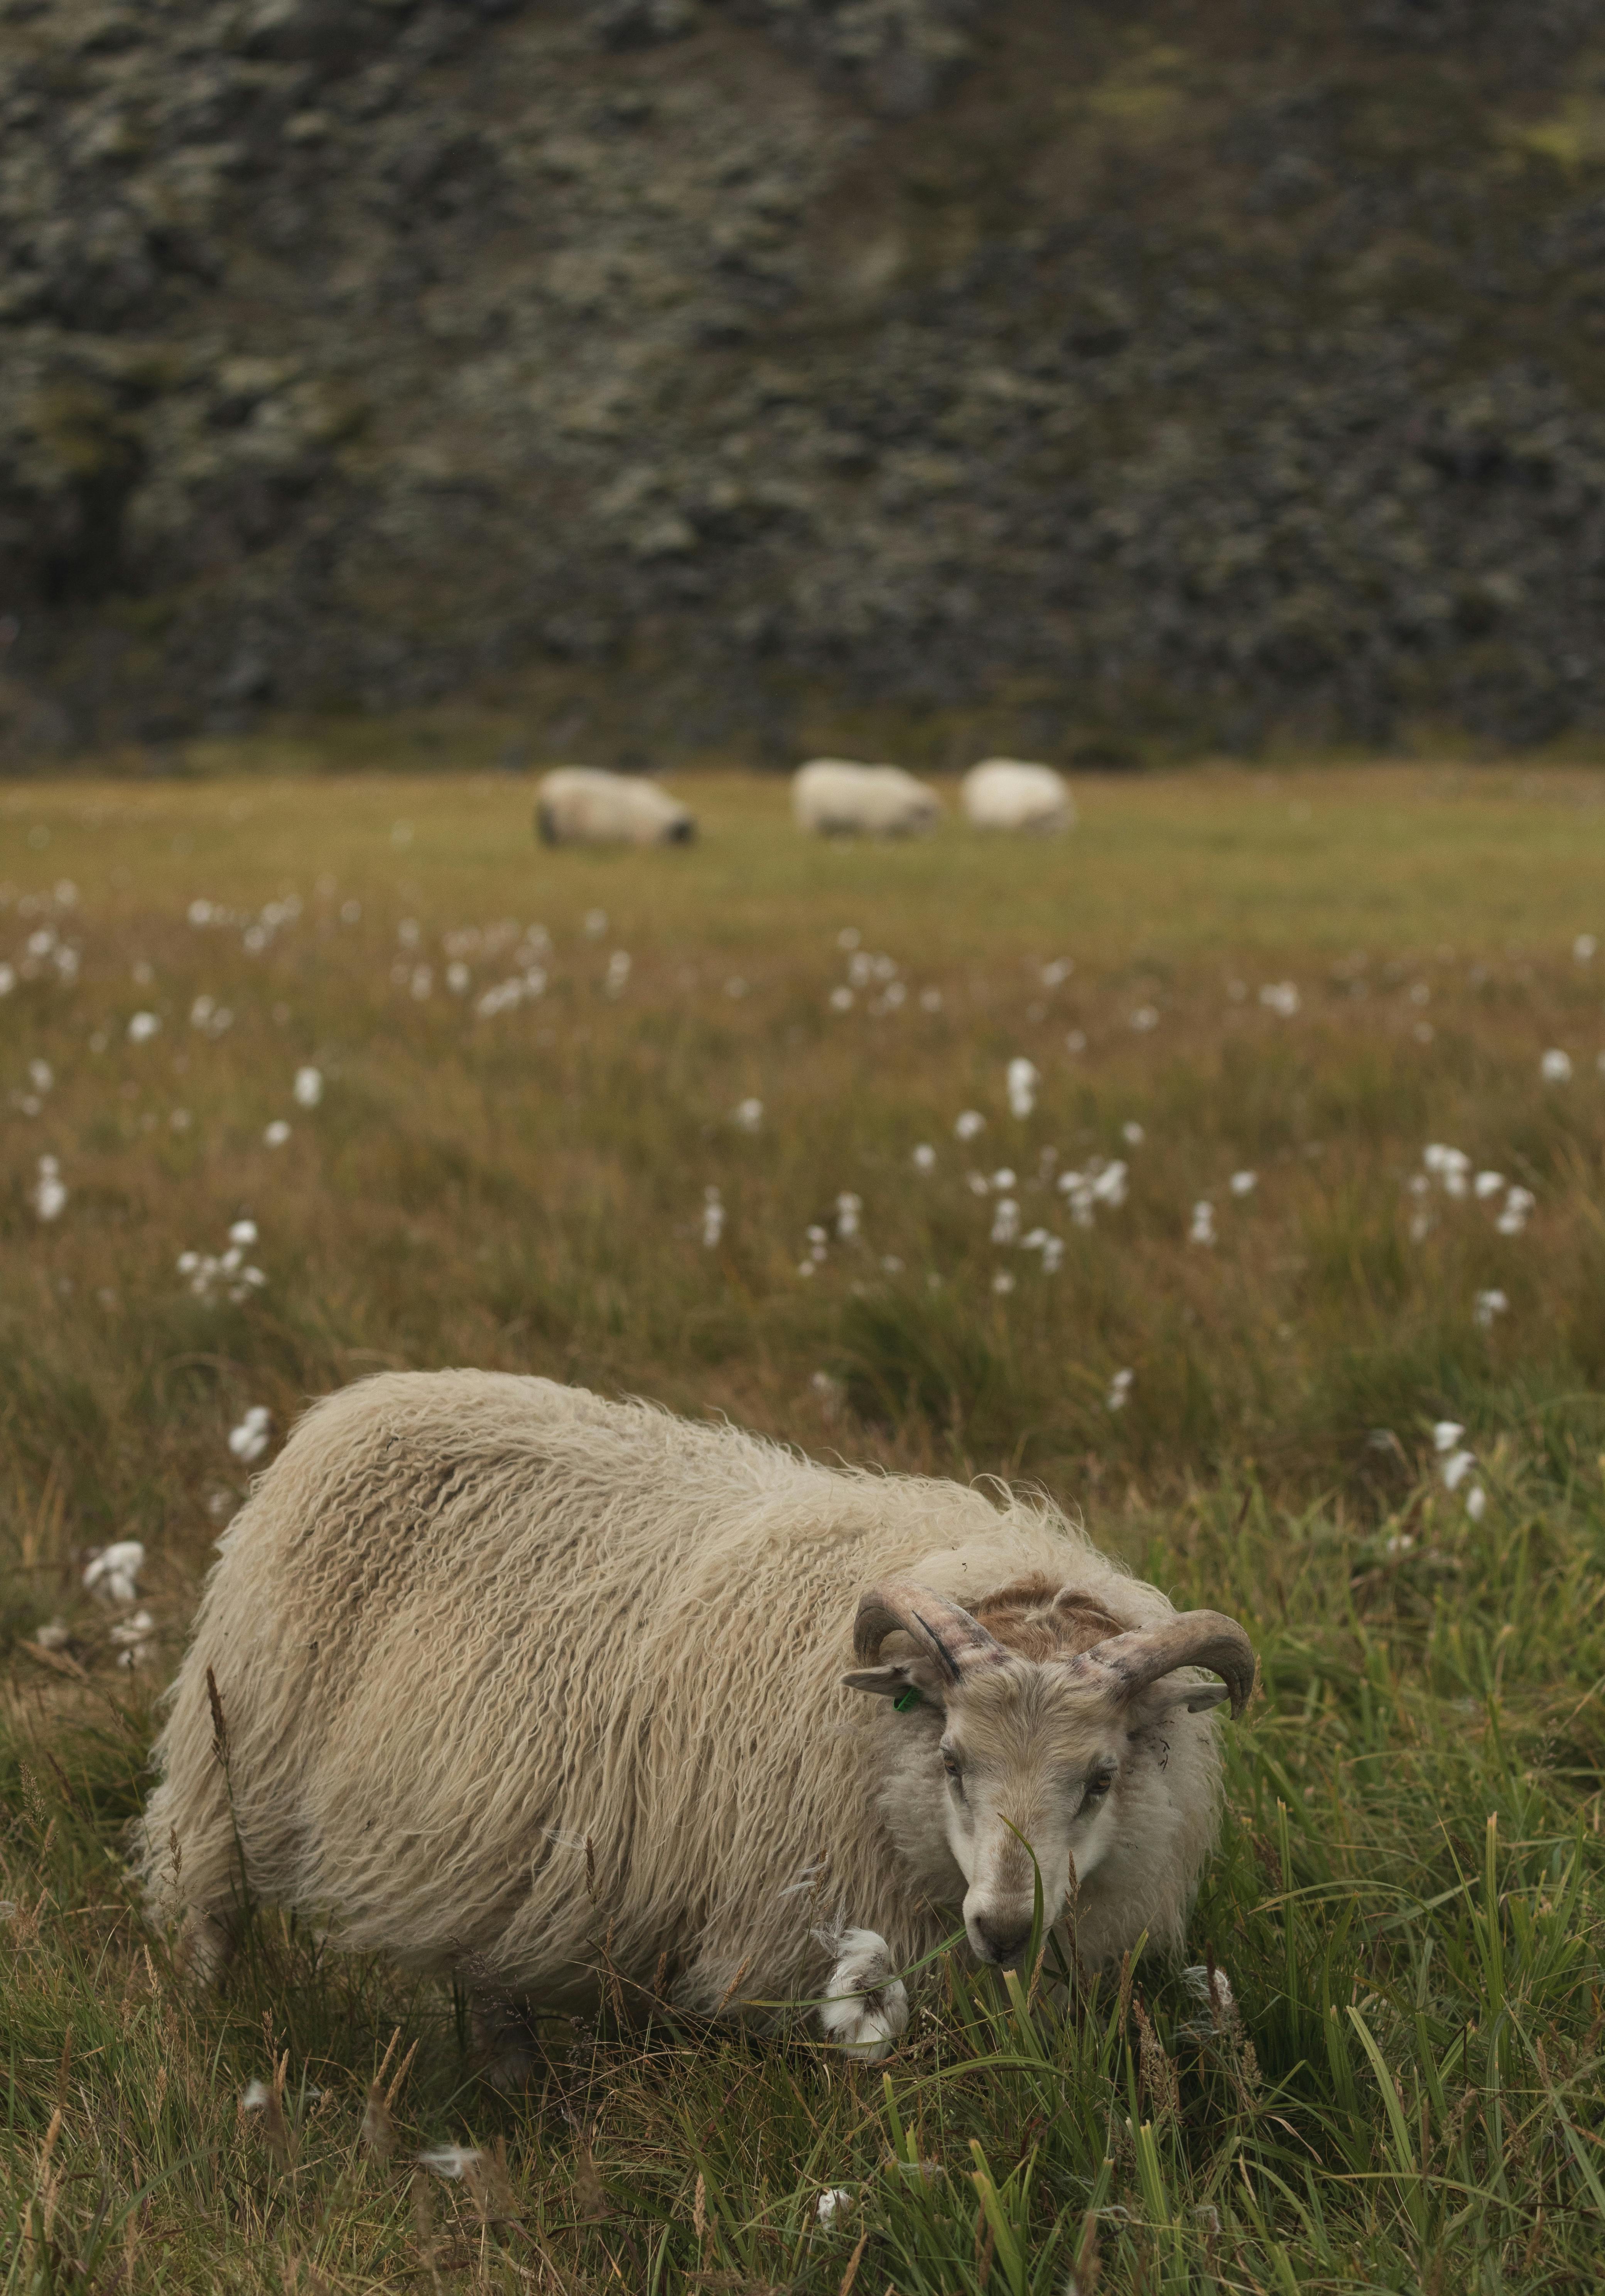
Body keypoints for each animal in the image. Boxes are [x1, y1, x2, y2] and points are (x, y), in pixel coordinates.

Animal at [137, 1372, 1255, 2077]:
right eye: (950, 1759)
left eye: (1102, 1776)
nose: (1006, 1927)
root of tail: (357, 1402)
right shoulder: (797, 1944)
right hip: (237, 1763)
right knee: (210, 1911)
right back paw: (202, 2031)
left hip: (485, 1842)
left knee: (489, 1979)